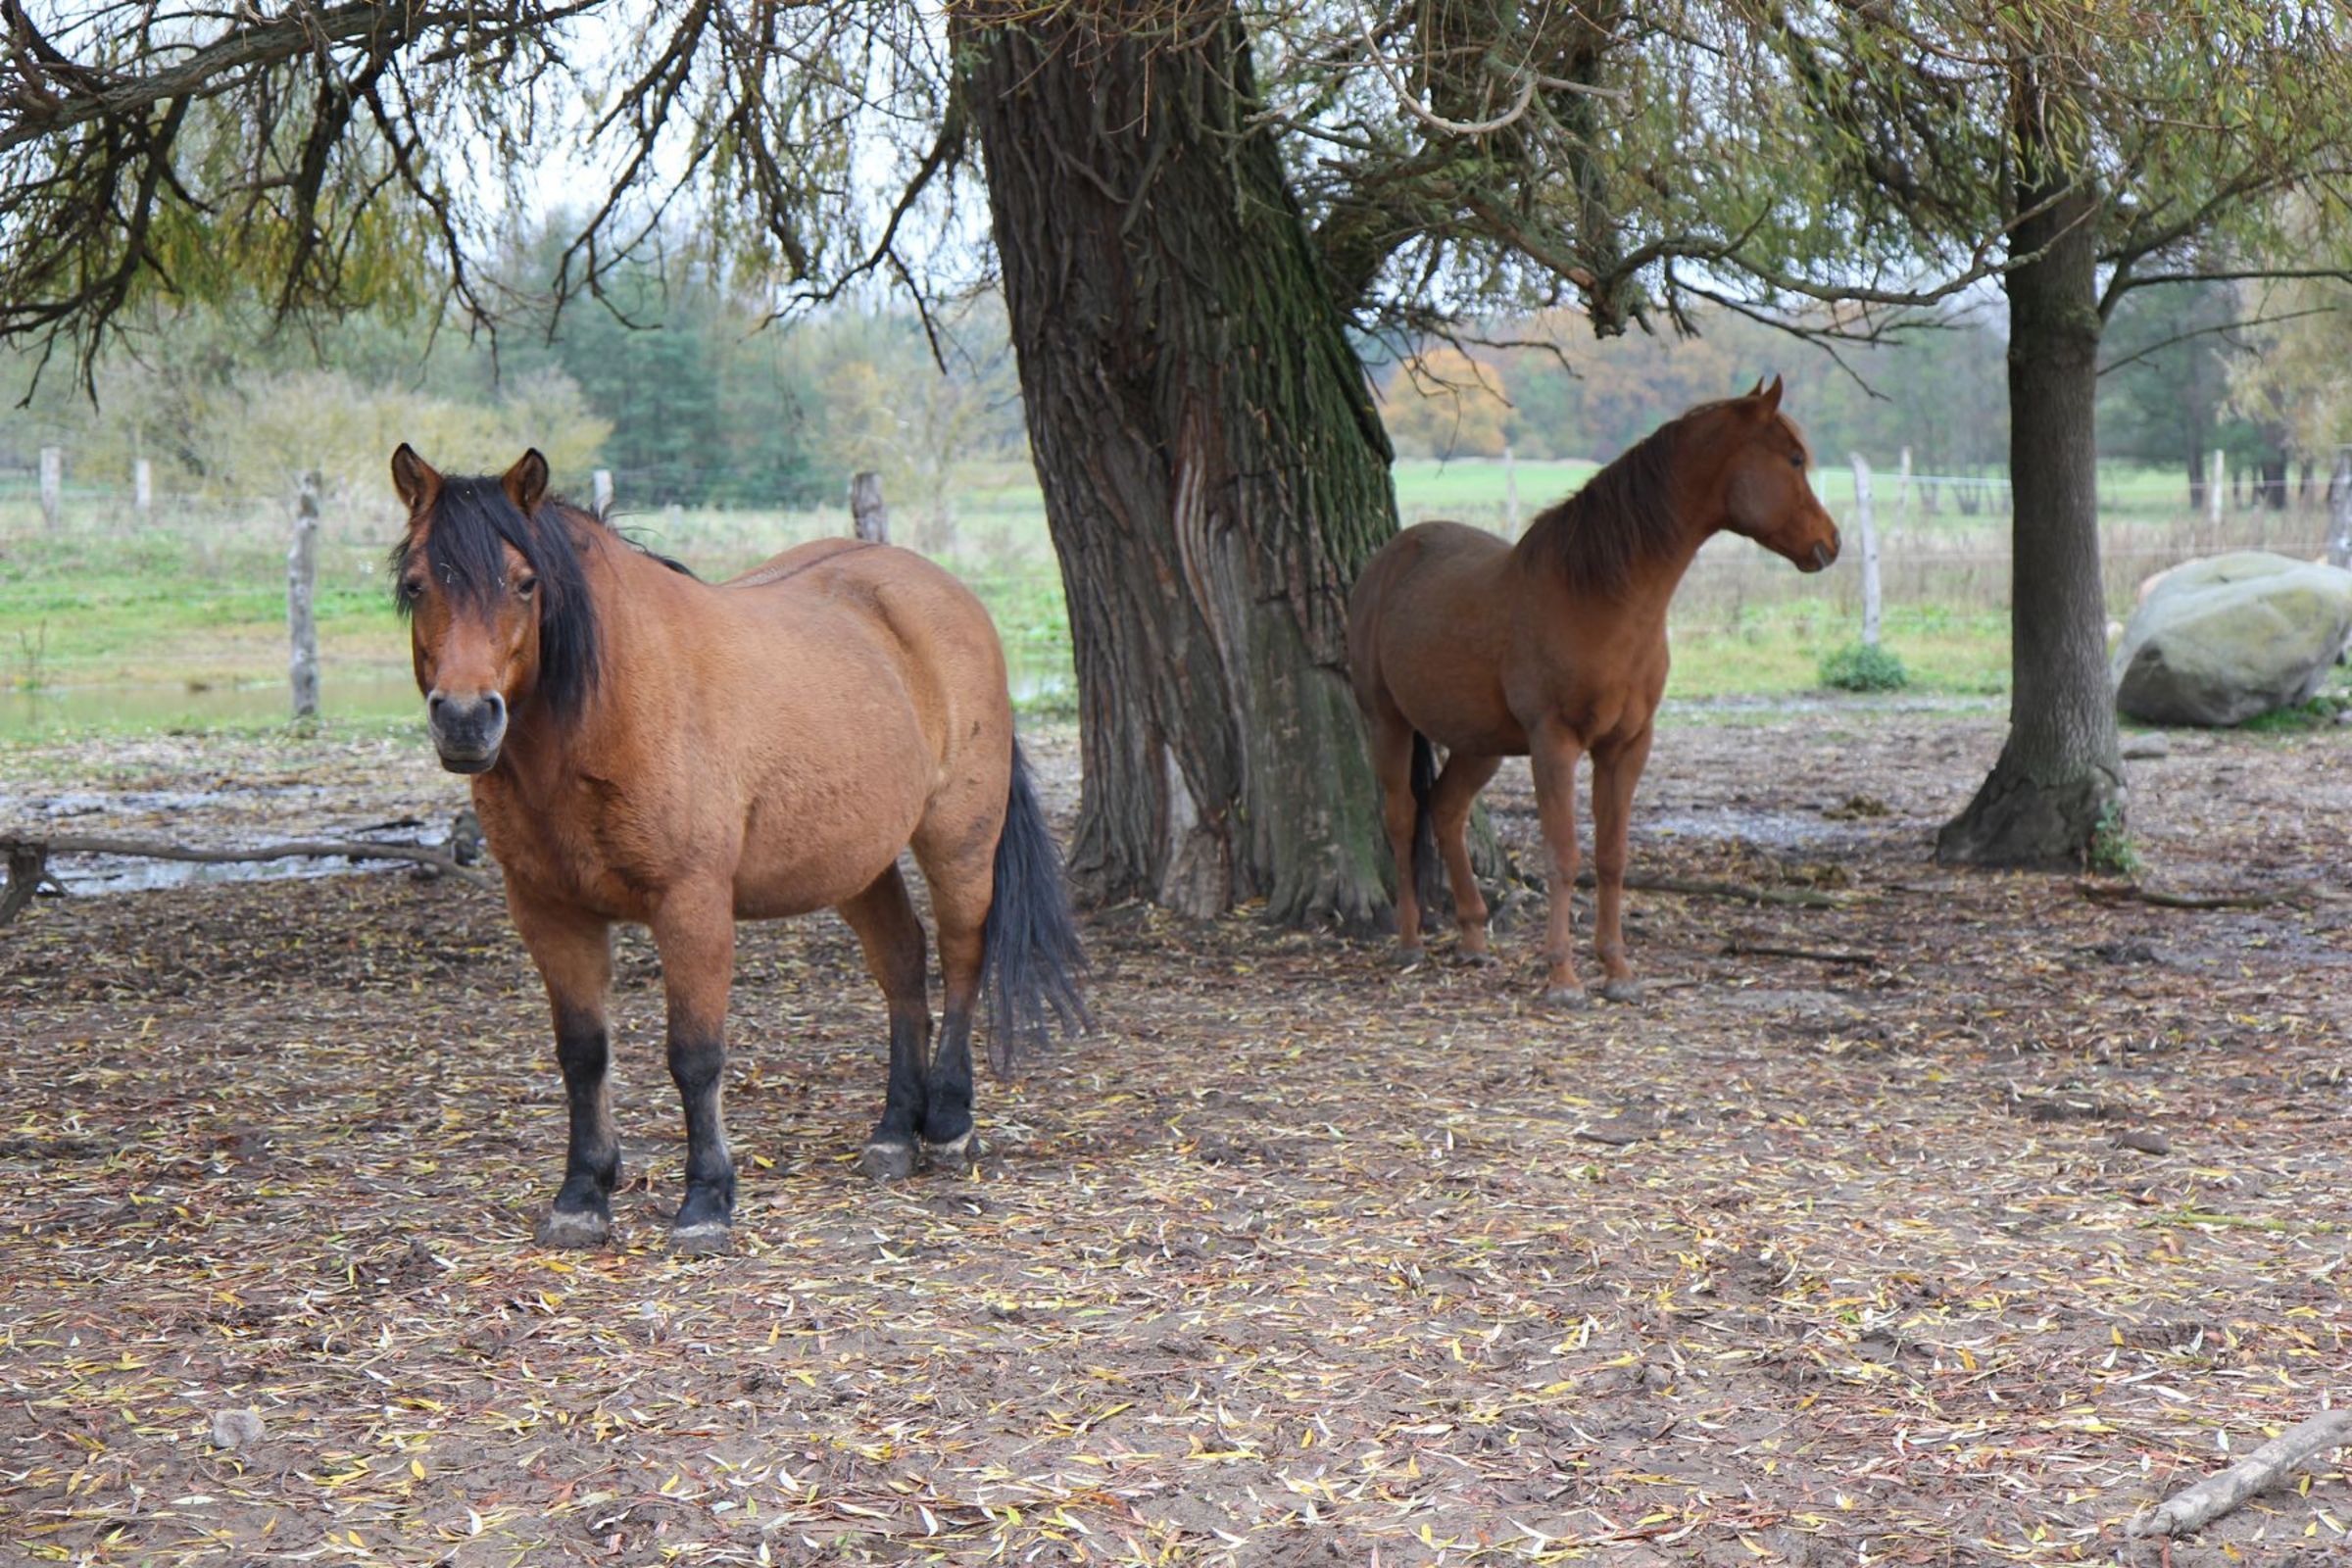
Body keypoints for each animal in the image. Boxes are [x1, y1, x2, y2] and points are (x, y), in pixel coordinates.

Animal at [388, 446, 1085, 1253]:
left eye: (525, 582)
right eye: (415, 583)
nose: (466, 720)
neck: (607, 709)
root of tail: (945, 592)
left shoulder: (692, 905)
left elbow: (695, 1056)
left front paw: (707, 1200)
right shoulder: (549, 912)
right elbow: (583, 1055)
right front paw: (582, 1195)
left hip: (958, 837)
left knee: (963, 956)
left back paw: (946, 1122)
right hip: (857, 861)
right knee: (903, 962)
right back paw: (891, 1132)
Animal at [1346, 376, 1841, 1005]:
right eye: (1794, 459)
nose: (1832, 542)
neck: (1601, 597)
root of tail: (1385, 562)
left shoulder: (1627, 745)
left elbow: (1610, 856)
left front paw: (1618, 970)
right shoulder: (1555, 744)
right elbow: (1563, 855)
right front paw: (1562, 976)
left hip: (1479, 744)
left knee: (1447, 811)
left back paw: (1474, 939)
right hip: (1387, 722)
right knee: (1403, 816)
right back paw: (1410, 940)